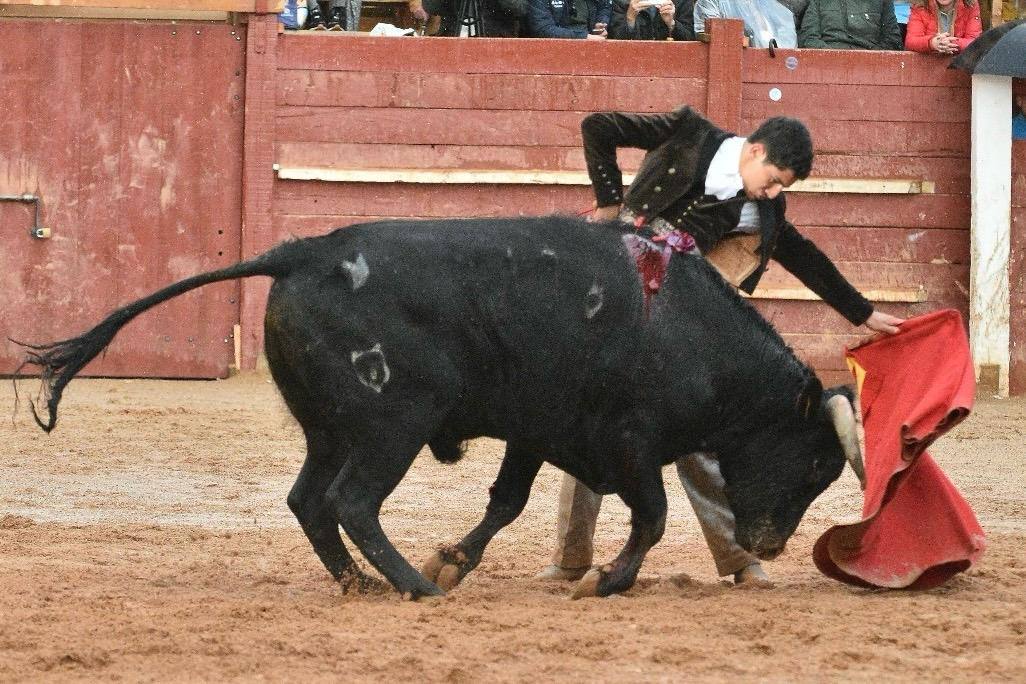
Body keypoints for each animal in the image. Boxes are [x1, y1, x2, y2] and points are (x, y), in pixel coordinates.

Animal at [20, 215, 849, 598]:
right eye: (815, 461)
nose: (772, 544)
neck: (679, 321)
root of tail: (303, 250)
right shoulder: (631, 441)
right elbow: (652, 515)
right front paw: (603, 580)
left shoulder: (536, 430)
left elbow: (508, 502)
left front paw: (453, 559)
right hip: (395, 424)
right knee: (351, 502)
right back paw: (407, 587)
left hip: (331, 428)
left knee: (309, 500)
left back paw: (360, 582)